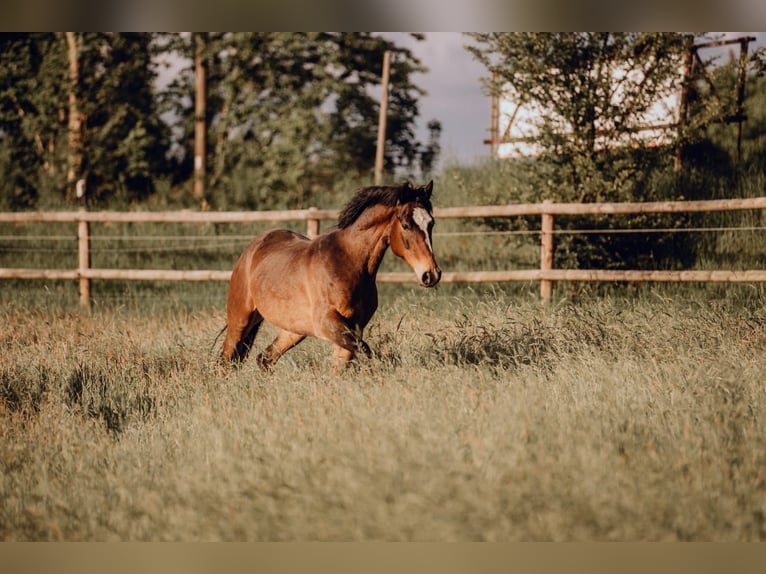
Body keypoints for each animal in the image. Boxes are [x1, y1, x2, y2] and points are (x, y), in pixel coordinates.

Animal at [221, 180, 441, 371]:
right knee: (226, 363)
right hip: (240, 320)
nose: (431, 274)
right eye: (406, 225)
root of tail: (252, 249)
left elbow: (340, 367)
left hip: (294, 330)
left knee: (264, 359)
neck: (348, 263)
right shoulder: (328, 324)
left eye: (431, 224)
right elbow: (366, 352)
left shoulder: (353, 327)